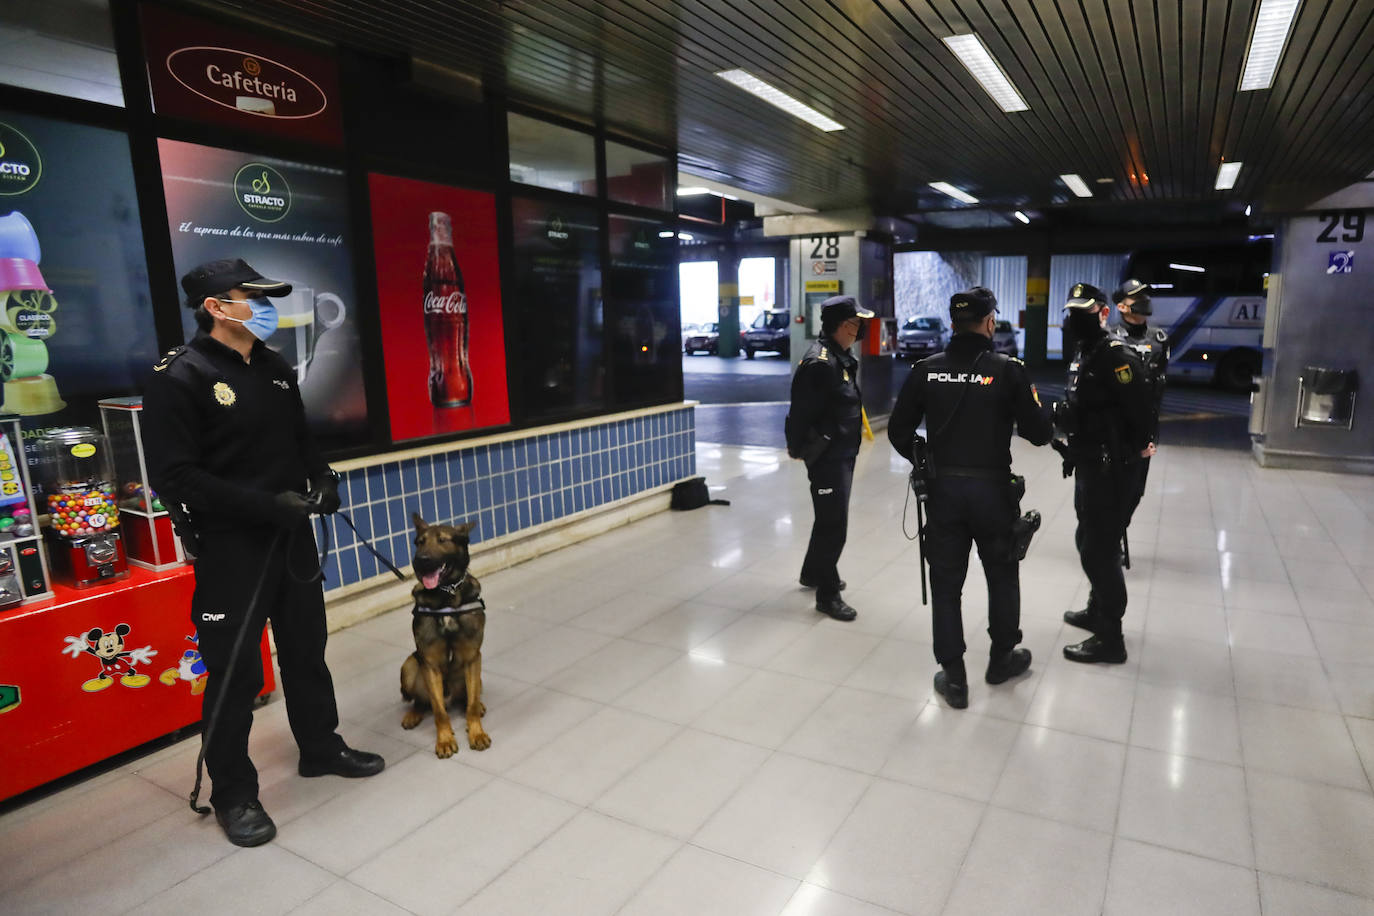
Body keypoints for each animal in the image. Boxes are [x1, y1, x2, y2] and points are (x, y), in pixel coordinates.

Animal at [401, 516, 491, 758]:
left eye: (443, 540)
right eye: (419, 542)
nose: (420, 561)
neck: (447, 594)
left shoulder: (472, 657)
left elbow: (470, 706)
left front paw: (477, 733)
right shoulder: (430, 664)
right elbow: (439, 712)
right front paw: (444, 740)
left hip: (476, 675)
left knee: (469, 697)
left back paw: (478, 706)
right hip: (410, 666)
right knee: (422, 702)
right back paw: (413, 714)